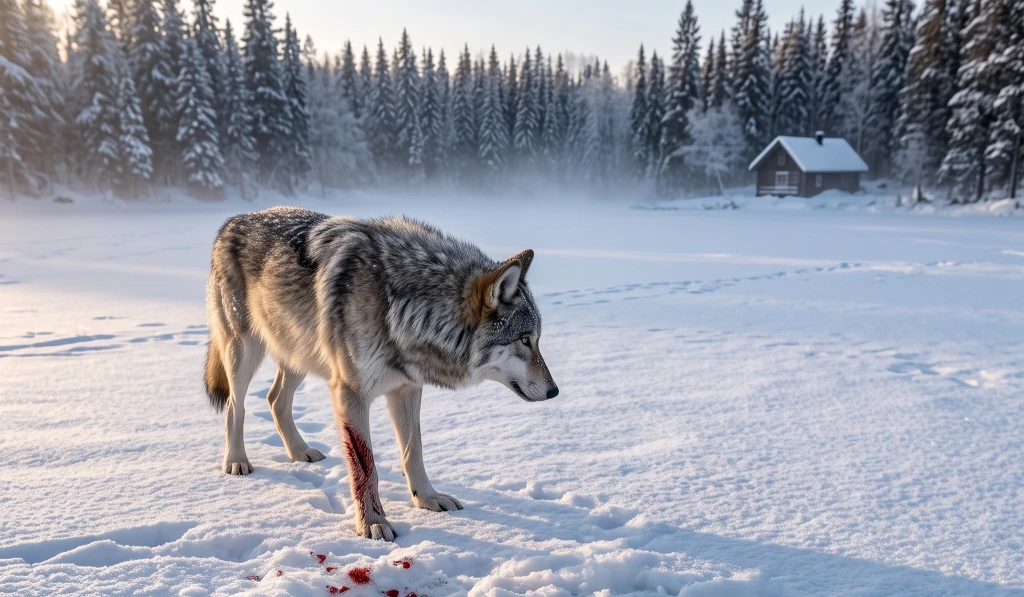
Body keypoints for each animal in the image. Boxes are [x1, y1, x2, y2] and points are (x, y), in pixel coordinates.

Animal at [204, 206, 558, 541]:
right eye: (524, 339)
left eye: (538, 339)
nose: (555, 391)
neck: (405, 308)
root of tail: (234, 220)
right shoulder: (350, 393)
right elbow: (366, 467)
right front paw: (372, 523)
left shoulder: (407, 388)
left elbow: (413, 450)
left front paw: (427, 499)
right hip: (244, 352)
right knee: (236, 406)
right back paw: (236, 461)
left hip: (299, 354)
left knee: (275, 399)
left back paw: (300, 451)